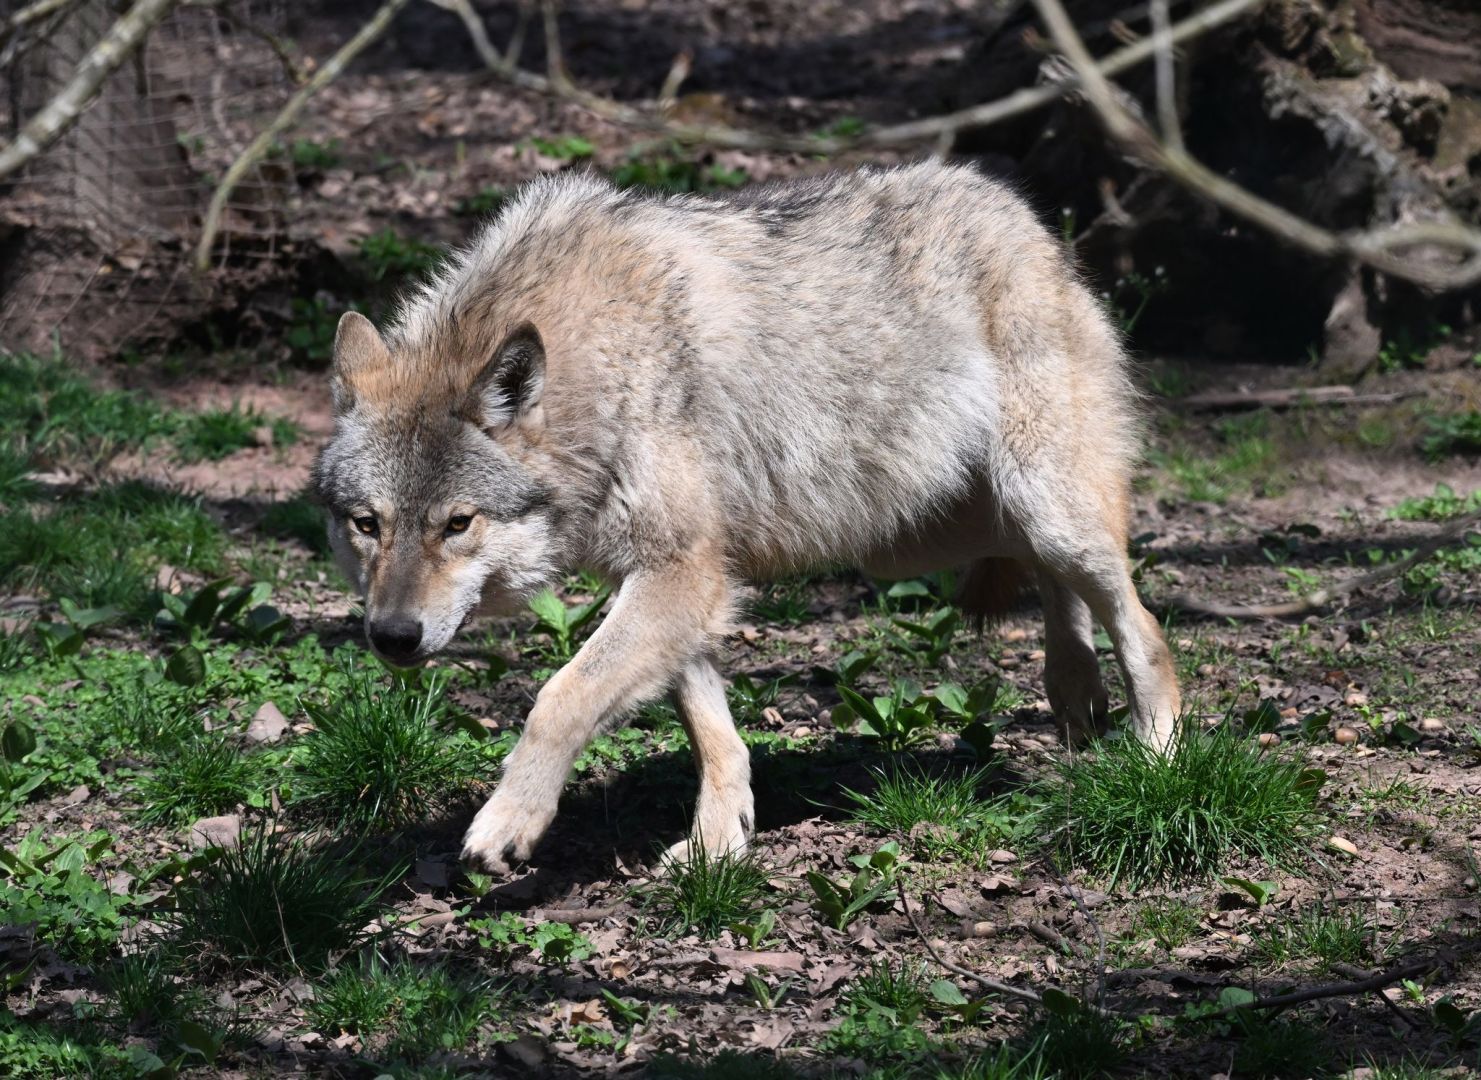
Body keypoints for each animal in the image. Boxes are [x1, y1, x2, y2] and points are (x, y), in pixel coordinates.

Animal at [312, 160, 1181, 872]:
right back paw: (1072, 690)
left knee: (1142, 624)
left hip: (1036, 507)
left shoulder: (681, 571)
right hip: (918, 536)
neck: (600, 368)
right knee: (1049, 579)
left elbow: (560, 697)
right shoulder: (681, 579)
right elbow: (711, 731)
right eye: (367, 525)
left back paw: (1155, 757)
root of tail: (1024, 215)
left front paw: (508, 821)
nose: (391, 637)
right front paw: (716, 842)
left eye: (456, 524)